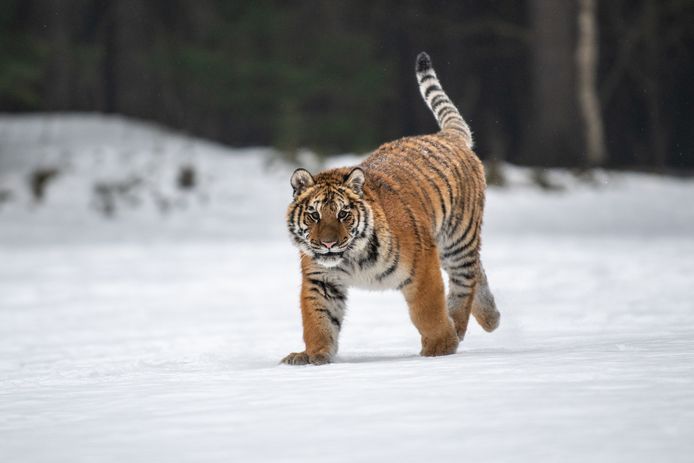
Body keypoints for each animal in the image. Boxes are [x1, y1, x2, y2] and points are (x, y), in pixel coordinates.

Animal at [282, 51, 500, 366]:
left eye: (343, 214)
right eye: (314, 215)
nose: (328, 244)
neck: (351, 258)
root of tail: (446, 136)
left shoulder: (422, 265)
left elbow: (427, 311)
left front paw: (439, 348)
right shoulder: (320, 280)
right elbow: (318, 320)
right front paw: (313, 356)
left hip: (457, 239)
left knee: (464, 281)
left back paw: (458, 328)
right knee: (477, 270)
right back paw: (491, 317)